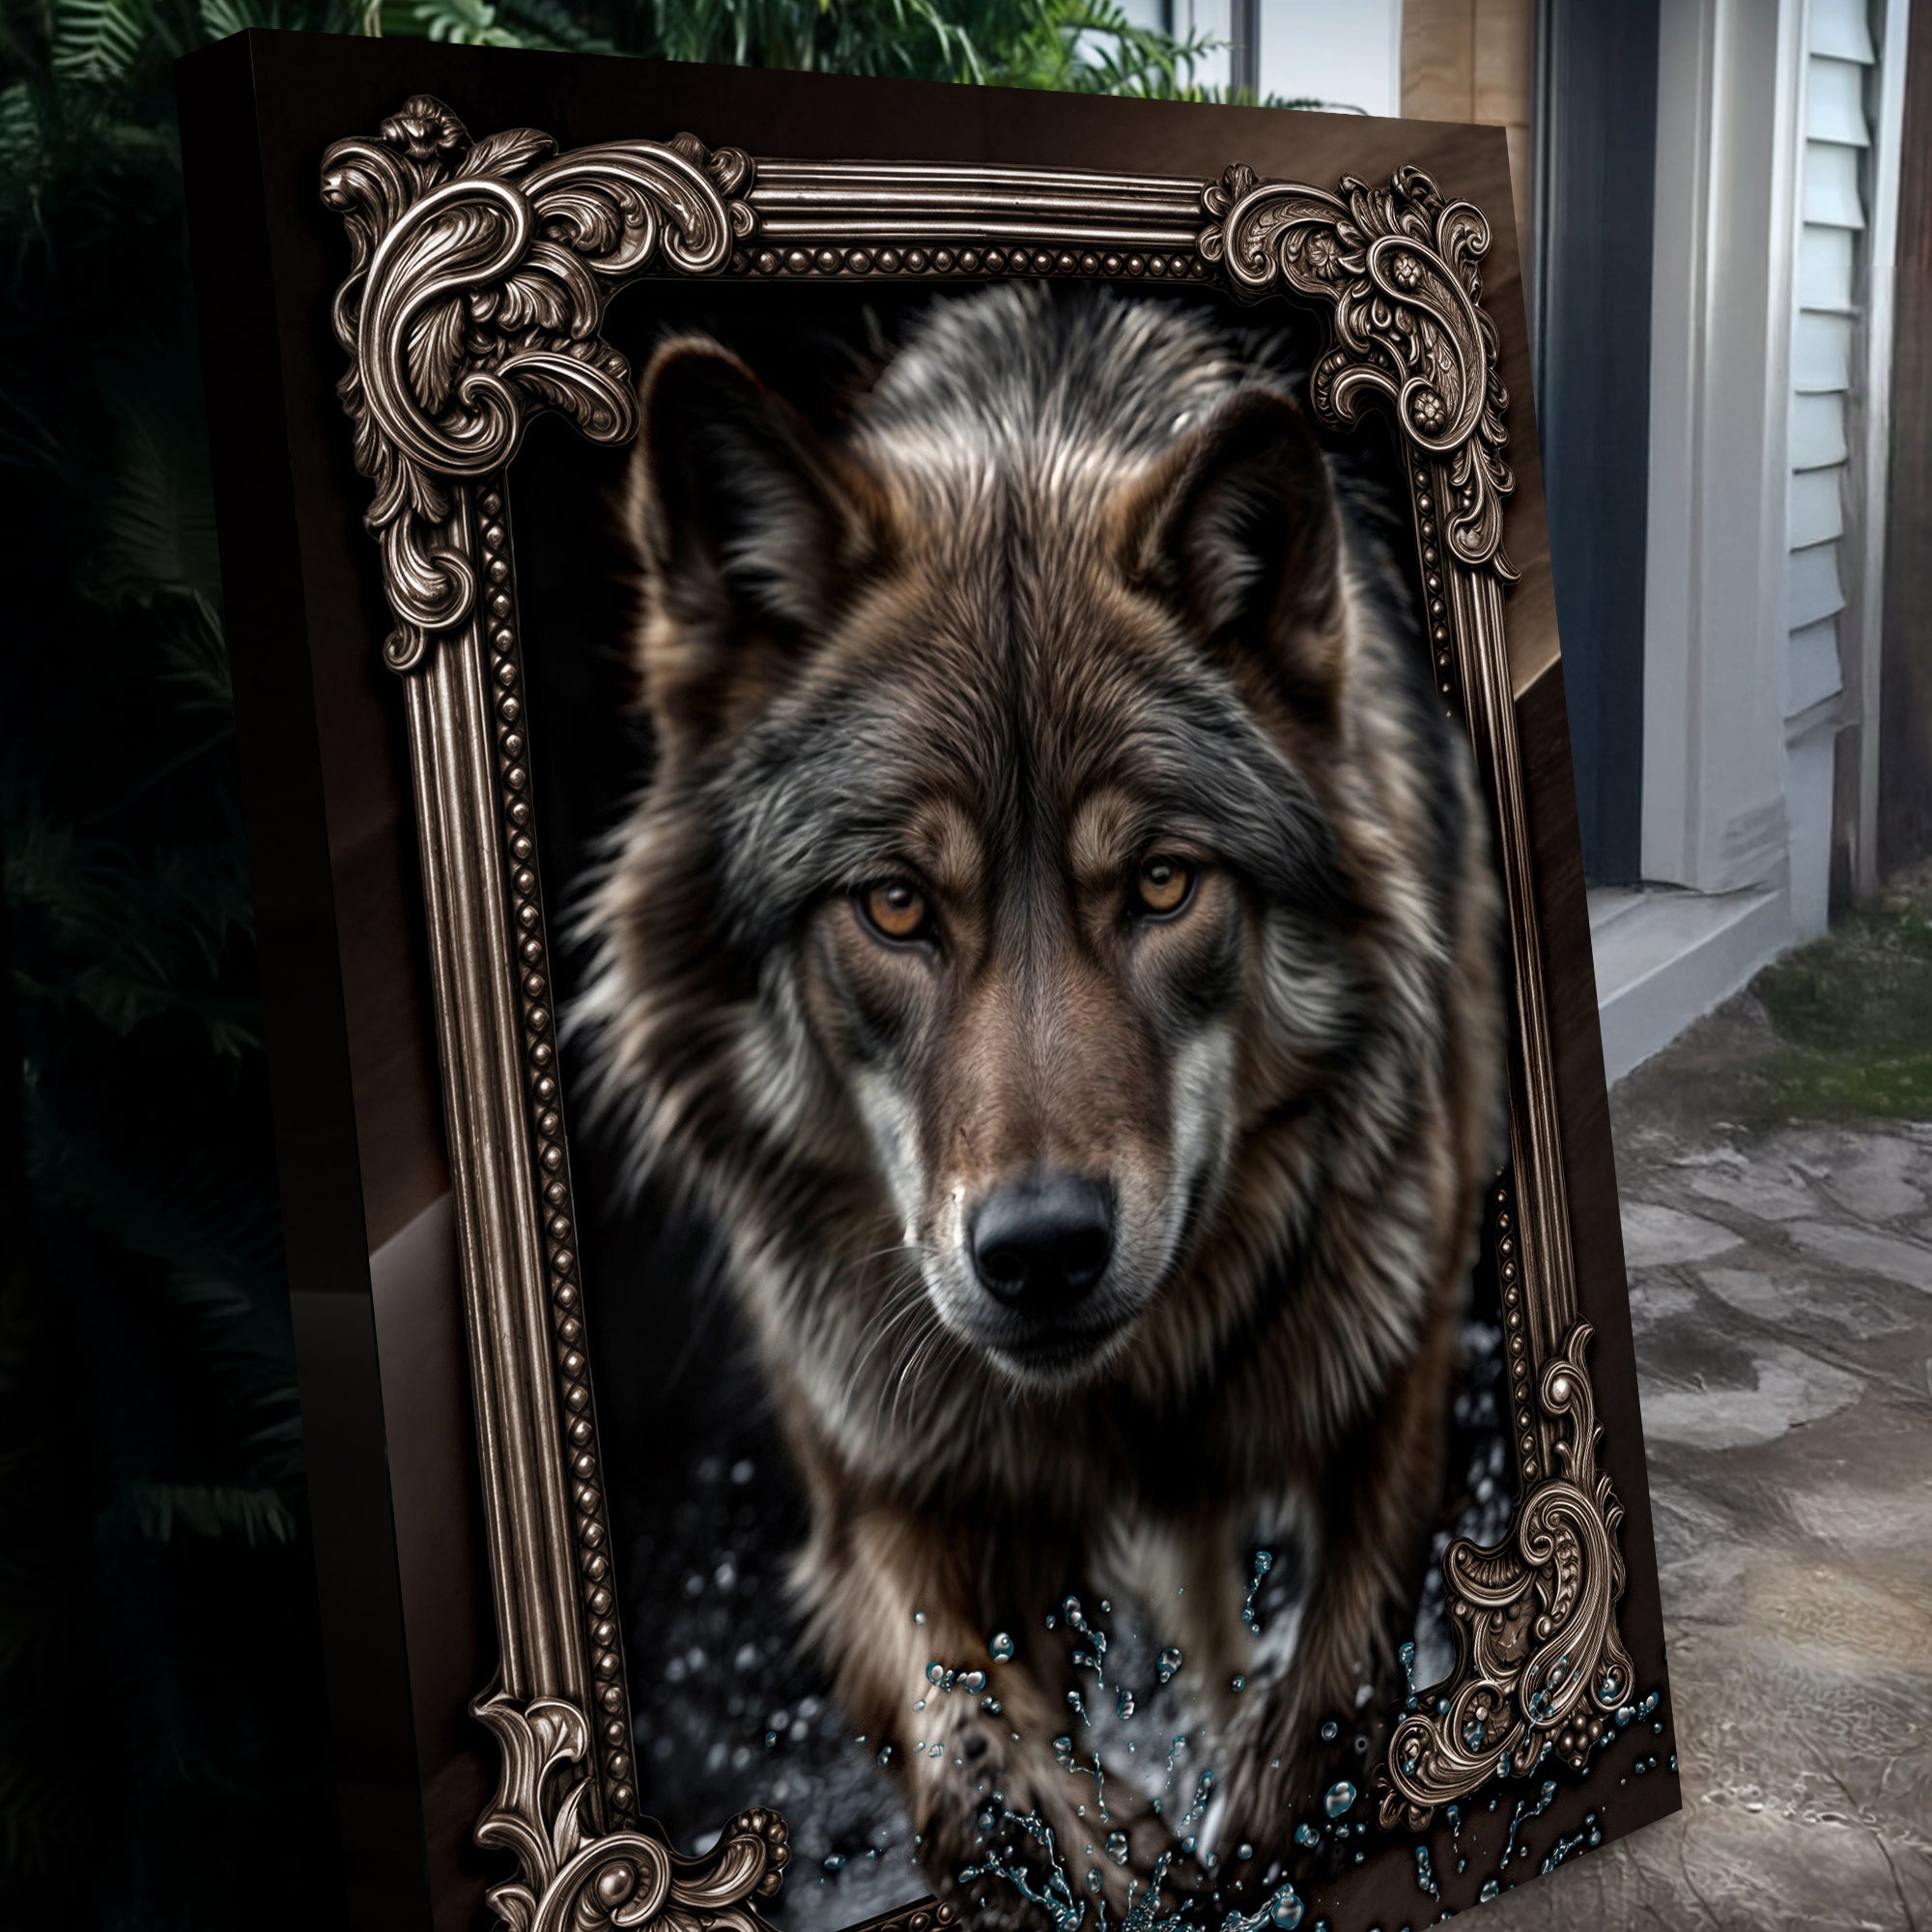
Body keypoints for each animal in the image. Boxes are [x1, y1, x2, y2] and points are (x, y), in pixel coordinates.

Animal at [574, 282, 1505, 1912]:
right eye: (893, 906)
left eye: (1162, 884)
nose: (1044, 1253)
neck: (1119, 1403)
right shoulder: (880, 1491)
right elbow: (979, 1736)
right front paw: (1103, 1850)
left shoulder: (1398, 1365)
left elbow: (1329, 1691)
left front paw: (1255, 1825)